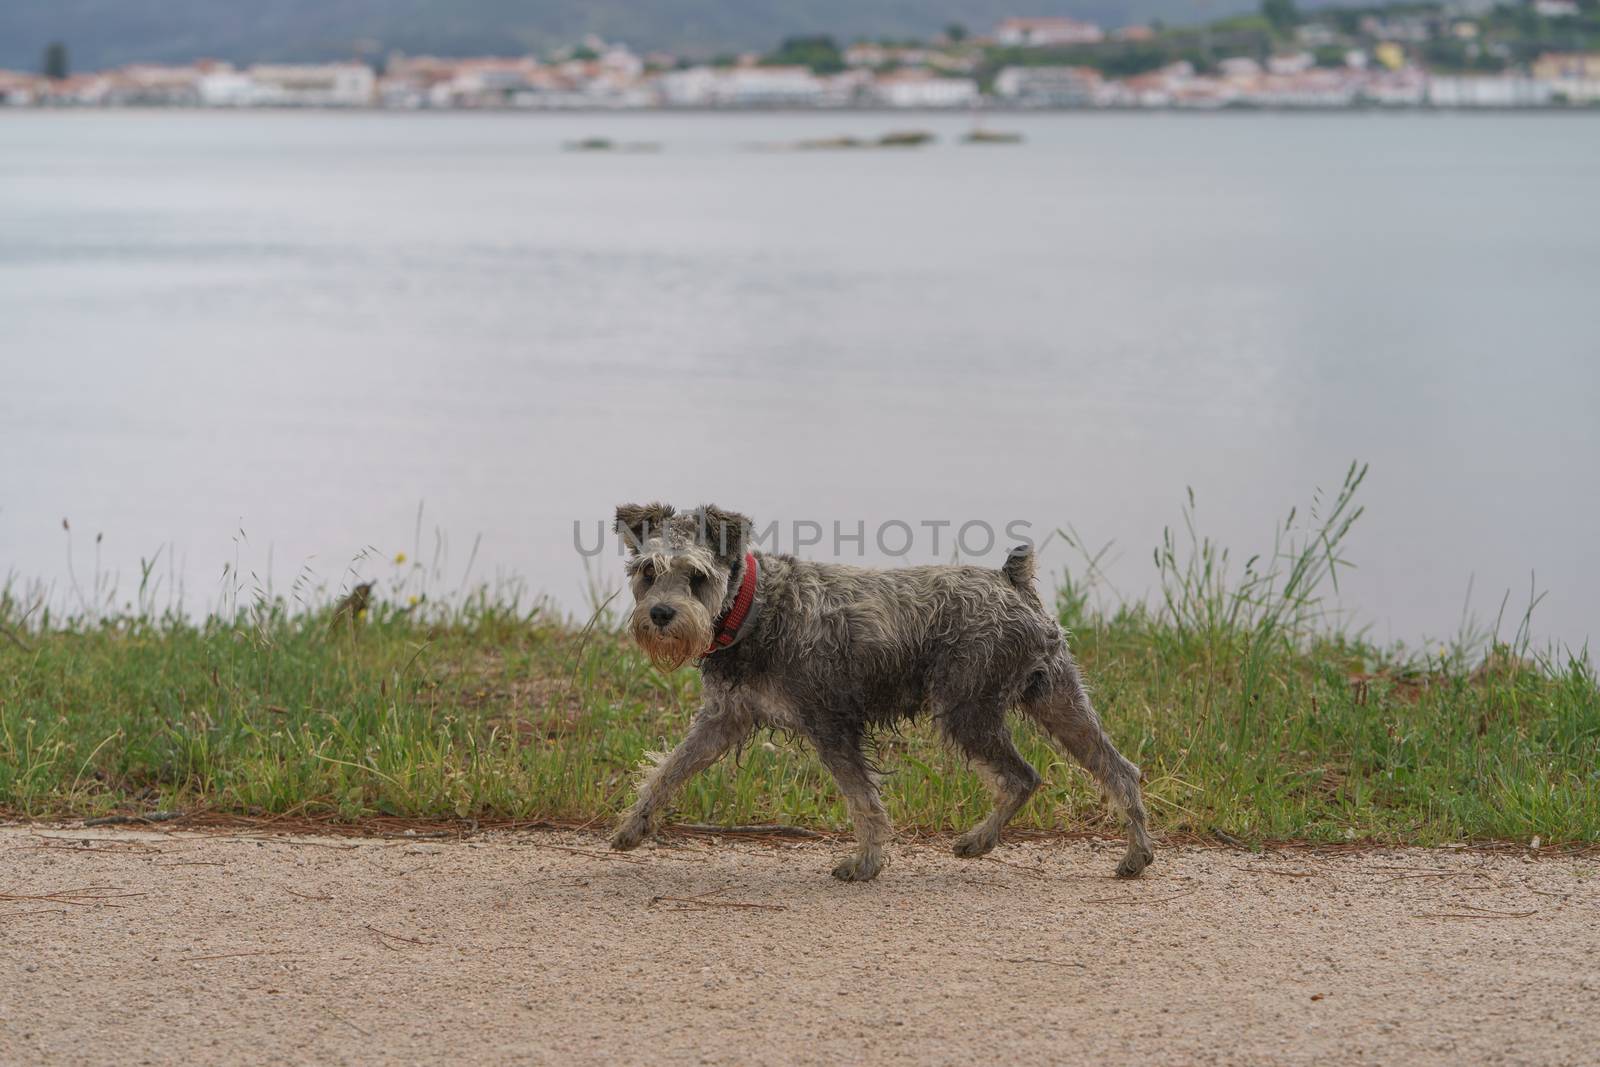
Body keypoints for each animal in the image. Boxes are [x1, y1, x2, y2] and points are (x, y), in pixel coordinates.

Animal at [604, 505, 1158, 883]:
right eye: (648, 571)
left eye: (697, 576)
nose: (660, 614)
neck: (752, 608)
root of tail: (1012, 582)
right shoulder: (722, 719)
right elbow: (669, 769)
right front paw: (633, 827)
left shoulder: (830, 725)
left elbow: (863, 800)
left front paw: (866, 862)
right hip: (1056, 698)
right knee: (1117, 769)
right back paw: (1135, 856)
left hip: (967, 711)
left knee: (1024, 776)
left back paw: (981, 841)